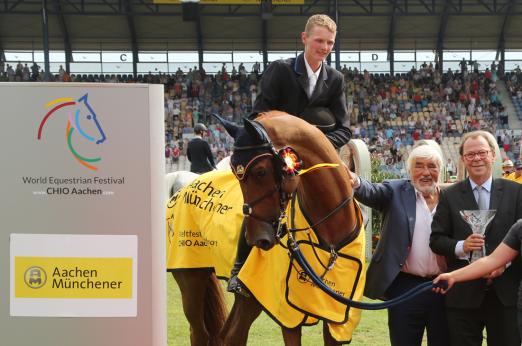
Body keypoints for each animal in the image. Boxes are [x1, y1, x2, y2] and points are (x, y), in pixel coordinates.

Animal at [169, 111, 360, 346]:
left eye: (260, 171)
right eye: (235, 173)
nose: (256, 239)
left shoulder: (336, 320)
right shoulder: (287, 315)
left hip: (246, 298)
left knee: (230, 335)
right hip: (191, 278)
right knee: (201, 333)